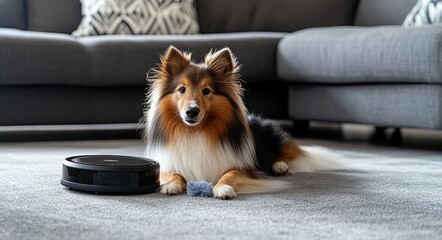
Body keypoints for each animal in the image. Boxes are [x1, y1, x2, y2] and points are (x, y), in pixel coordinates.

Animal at [143, 46, 340, 200]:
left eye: (206, 90)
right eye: (182, 89)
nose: (191, 112)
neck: (195, 131)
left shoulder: (244, 167)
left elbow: (230, 174)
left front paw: (223, 188)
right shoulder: (168, 163)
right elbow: (173, 173)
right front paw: (170, 184)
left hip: (269, 138)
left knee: (283, 154)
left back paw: (280, 166)